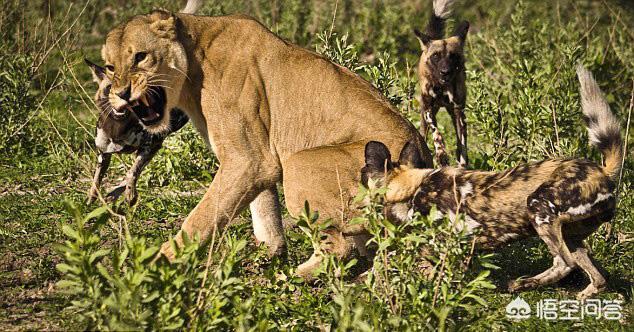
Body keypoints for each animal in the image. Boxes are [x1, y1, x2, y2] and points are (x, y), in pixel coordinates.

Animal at [84, 59, 188, 205]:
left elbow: (132, 171)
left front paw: (130, 195)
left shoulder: (150, 147)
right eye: (109, 87)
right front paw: (92, 200)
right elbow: (96, 180)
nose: (123, 96)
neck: (117, 128)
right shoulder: (103, 155)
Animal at [356, 66, 624, 300]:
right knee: (598, 277)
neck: (413, 191)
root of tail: (601, 170)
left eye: (364, 174)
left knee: (564, 263)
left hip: (539, 207)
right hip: (573, 237)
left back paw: (522, 284)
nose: (358, 176)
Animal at [412, 0, 466, 166]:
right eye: (436, 56)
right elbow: (437, 133)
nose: (445, 72)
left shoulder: (458, 111)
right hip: (425, 113)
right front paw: (441, 154)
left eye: (453, 56)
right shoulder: (429, 109)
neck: (442, 87)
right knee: (423, 134)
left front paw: (463, 164)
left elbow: (462, 145)